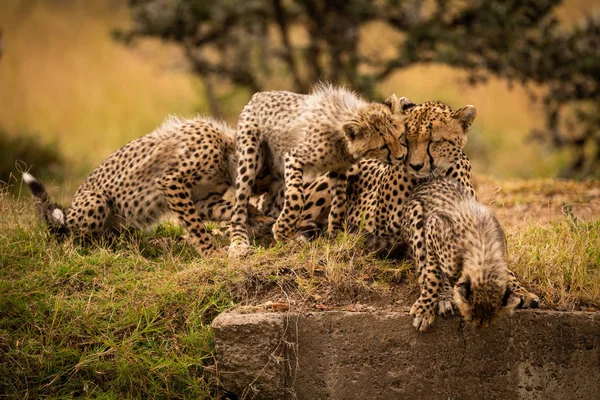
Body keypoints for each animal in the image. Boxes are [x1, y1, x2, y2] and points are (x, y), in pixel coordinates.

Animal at [23, 115, 272, 253]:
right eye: (263, 173)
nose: (261, 189)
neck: (225, 151)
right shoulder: (172, 182)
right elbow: (196, 226)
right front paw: (211, 253)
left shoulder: (202, 199)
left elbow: (227, 208)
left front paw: (258, 216)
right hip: (95, 200)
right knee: (73, 240)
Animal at [227, 85, 410, 258]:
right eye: (383, 146)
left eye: (400, 137)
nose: (401, 157)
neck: (341, 138)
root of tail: (258, 95)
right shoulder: (293, 157)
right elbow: (296, 197)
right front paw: (281, 230)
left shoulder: (339, 169)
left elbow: (340, 202)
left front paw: (335, 235)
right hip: (250, 157)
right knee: (238, 208)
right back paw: (239, 244)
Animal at [400, 178, 540, 332]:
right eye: (471, 318)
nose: (477, 328)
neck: (483, 249)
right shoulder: (433, 226)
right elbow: (433, 275)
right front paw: (425, 310)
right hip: (415, 216)